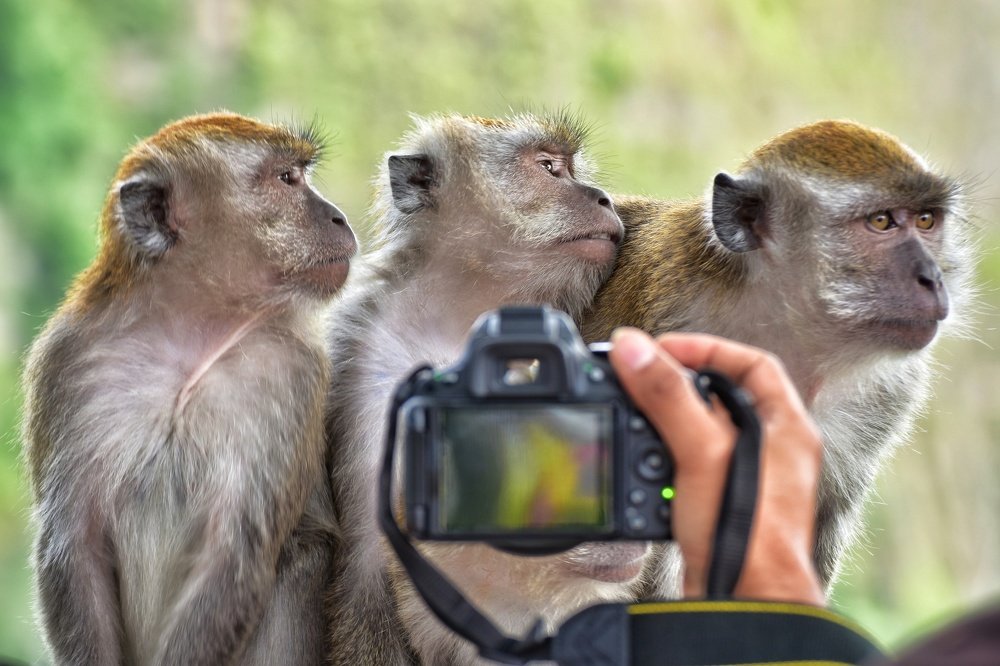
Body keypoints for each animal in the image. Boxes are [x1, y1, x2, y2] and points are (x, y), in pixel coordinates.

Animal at [20, 112, 357, 665]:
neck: (189, 332)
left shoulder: (291, 372)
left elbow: (233, 555)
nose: (339, 218)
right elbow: (75, 545)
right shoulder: (68, 361)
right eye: (287, 179)